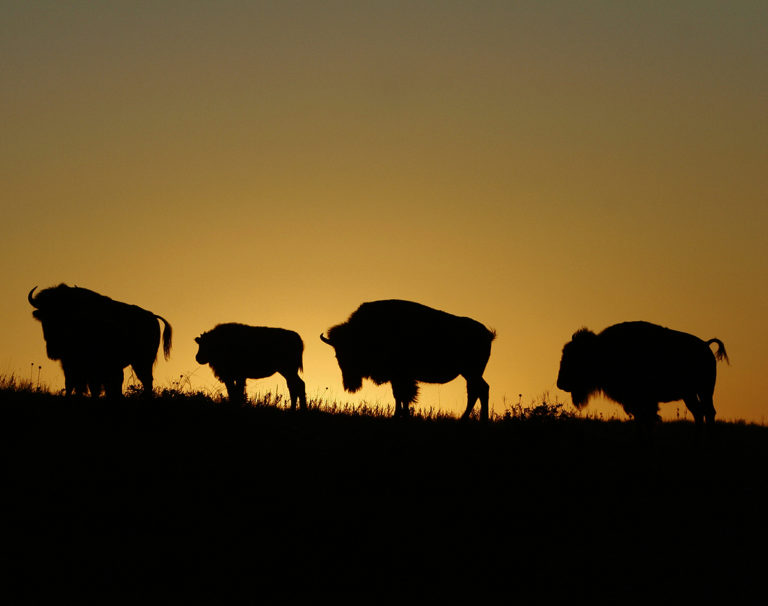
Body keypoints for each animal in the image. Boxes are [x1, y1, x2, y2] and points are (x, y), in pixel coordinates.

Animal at [29, 284, 172, 400]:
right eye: (44, 316)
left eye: (64, 315)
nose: (53, 349)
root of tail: (152, 316)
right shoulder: (69, 363)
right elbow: (71, 384)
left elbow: (92, 386)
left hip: (142, 361)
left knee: (146, 380)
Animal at [320, 300, 496, 422]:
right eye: (338, 355)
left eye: (353, 352)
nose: (350, 384)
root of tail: (488, 334)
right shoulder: (397, 377)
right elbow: (400, 396)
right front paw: (400, 415)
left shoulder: (402, 376)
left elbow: (403, 395)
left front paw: (399, 415)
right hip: (469, 373)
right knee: (478, 390)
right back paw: (473, 418)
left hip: (471, 372)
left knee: (479, 390)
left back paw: (474, 418)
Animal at [556, 324, 728, 428]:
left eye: (576, 356)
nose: (560, 383)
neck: (602, 349)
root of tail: (705, 344)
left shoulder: (643, 400)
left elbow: (647, 415)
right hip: (690, 394)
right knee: (699, 411)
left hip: (704, 391)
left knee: (708, 411)